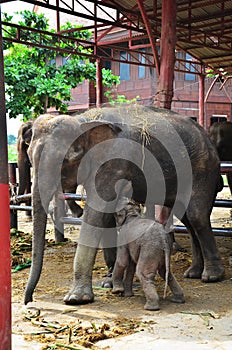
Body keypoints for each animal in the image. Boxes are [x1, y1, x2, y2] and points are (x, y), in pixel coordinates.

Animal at [24, 105, 225, 304]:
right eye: (29, 157)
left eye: (63, 160)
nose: (29, 301)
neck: (84, 120)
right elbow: (105, 218)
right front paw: (109, 282)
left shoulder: (113, 162)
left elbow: (96, 213)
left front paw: (76, 298)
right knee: (187, 219)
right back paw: (193, 273)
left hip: (201, 170)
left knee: (196, 216)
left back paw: (211, 276)